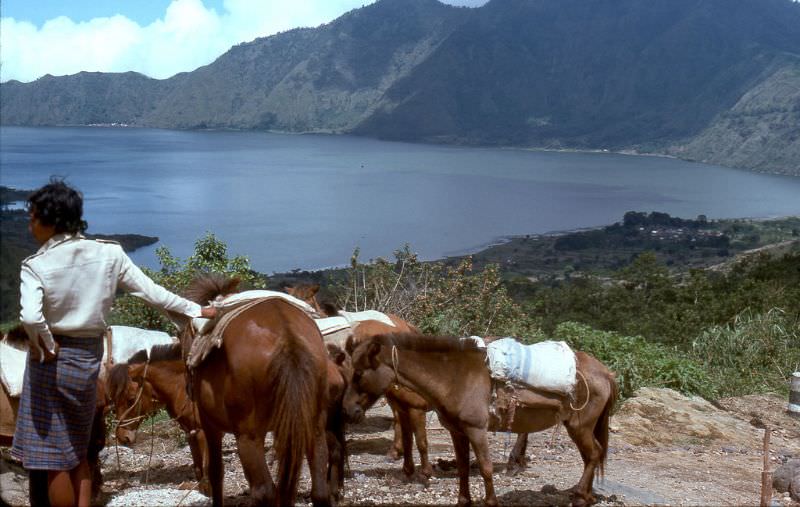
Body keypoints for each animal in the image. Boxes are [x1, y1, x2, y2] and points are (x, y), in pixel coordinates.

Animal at [173, 276, 332, 506]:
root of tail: (288, 337)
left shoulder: (209, 424)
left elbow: (215, 471)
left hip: (248, 436)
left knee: (263, 490)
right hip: (314, 425)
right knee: (319, 490)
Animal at [344, 334, 620, 507]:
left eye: (359, 373)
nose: (347, 411)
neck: (453, 376)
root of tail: (605, 372)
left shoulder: (476, 430)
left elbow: (485, 468)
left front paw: (491, 501)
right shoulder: (458, 432)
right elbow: (463, 468)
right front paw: (463, 501)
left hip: (579, 427)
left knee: (593, 454)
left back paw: (580, 497)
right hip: (581, 428)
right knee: (592, 455)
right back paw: (586, 495)